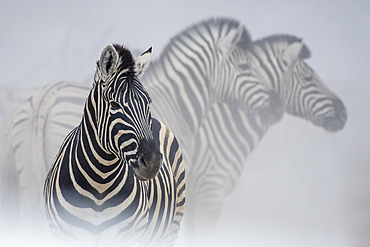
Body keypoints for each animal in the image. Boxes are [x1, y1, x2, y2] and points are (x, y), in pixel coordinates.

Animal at [42, 44, 185, 247]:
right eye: (115, 105)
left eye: (148, 102)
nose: (153, 162)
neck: (100, 183)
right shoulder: (63, 234)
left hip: (171, 228)